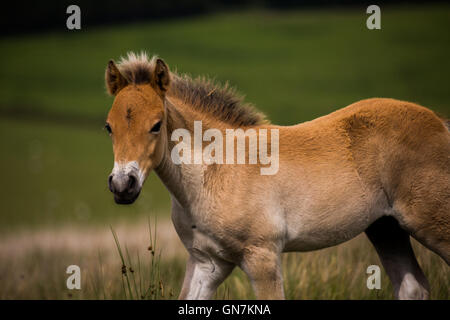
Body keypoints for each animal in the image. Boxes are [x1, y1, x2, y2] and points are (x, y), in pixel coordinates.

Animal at [103, 51, 450, 298]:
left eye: (156, 125)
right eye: (108, 127)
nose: (122, 185)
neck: (216, 171)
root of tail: (439, 122)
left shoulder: (263, 257)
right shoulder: (207, 262)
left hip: (431, 223)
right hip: (385, 227)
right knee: (412, 287)